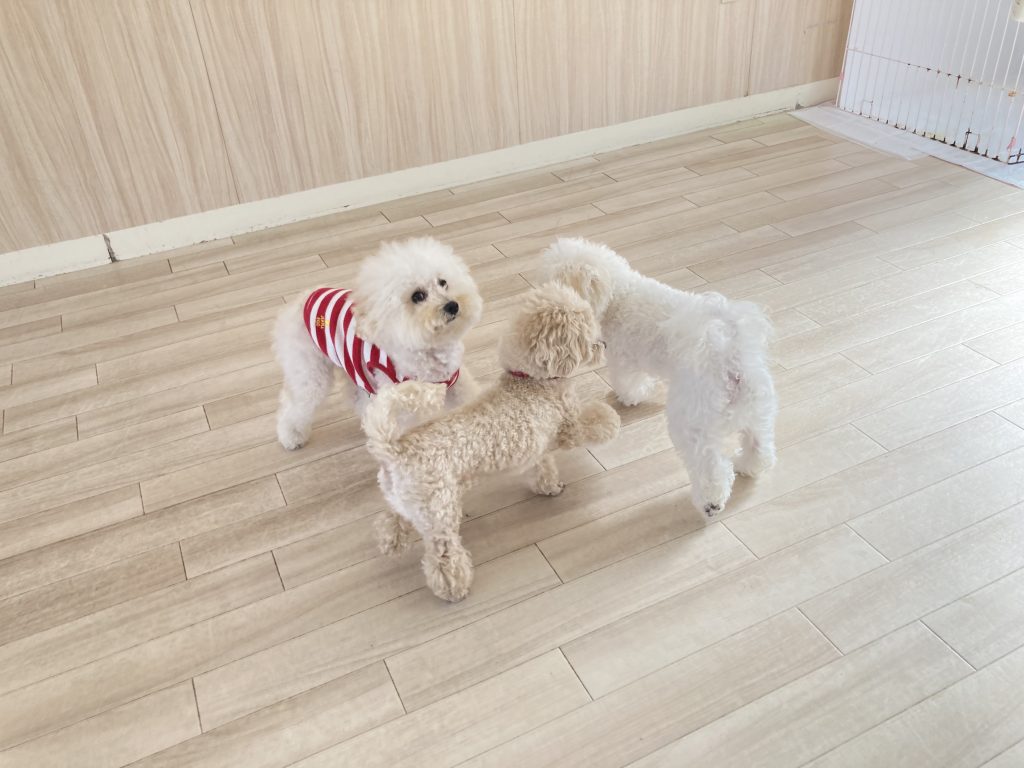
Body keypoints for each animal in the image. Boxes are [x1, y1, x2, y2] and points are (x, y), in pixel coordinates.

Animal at [273, 237, 483, 449]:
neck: (430, 353)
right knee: (295, 404)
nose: (453, 305)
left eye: (443, 282)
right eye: (417, 296)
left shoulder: (457, 383)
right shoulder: (398, 402)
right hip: (310, 372)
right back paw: (292, 436)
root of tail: (303, 299)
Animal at [361, 282, 621, 601]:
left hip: (409, 501)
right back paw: (454, 589)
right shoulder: (567, 427)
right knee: (442, 556)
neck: (530, 380)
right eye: (586, 332)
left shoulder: (538, 446)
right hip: (439, 513)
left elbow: (544, 467)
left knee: (392, 520)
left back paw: (392, 543)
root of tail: (394, 448)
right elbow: (594, 423)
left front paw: (549, 487)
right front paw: (611, 419)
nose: (604, 345)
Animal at [542, 237, 777, 518]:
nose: (542, 291)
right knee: (760, 445)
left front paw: (629, 397)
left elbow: (628, 382)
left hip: (693, 422)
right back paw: (748, 465)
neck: (619, 293)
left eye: (556, 280)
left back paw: (710, 503)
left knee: (712, 468)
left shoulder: (622, 357)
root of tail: (730, 358)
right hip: (757, 408)